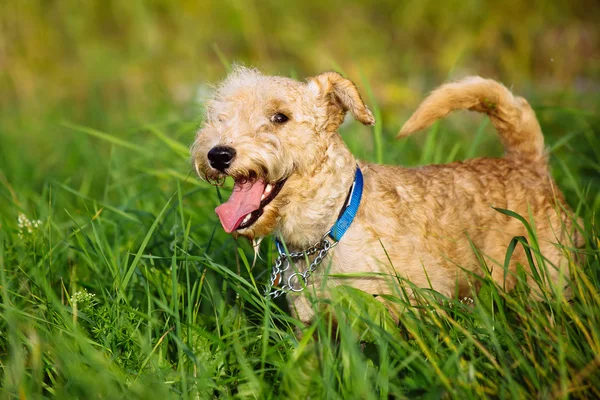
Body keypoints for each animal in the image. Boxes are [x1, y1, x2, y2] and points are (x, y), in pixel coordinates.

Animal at [191, 67, 580, 326]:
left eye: (280, 116)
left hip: (547, 281)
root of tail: (529, 163)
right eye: (219, 116)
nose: (218, 154)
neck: (328, 228)